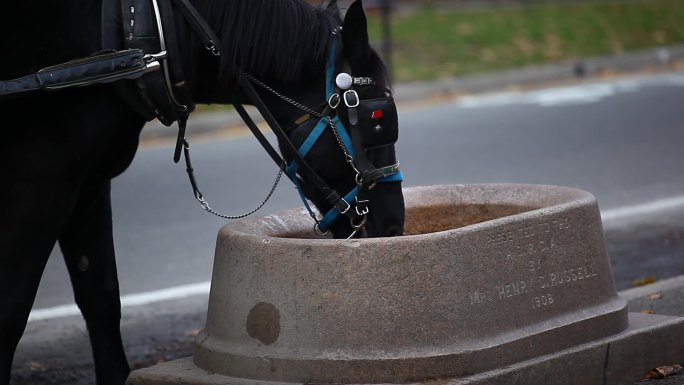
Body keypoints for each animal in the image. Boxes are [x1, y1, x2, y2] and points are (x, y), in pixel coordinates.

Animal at [0, 0, 404, 382]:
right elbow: (13, 310)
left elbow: (100, 295)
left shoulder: (88, 184)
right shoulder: (43, 183)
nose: (394, 224)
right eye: (378, 120)